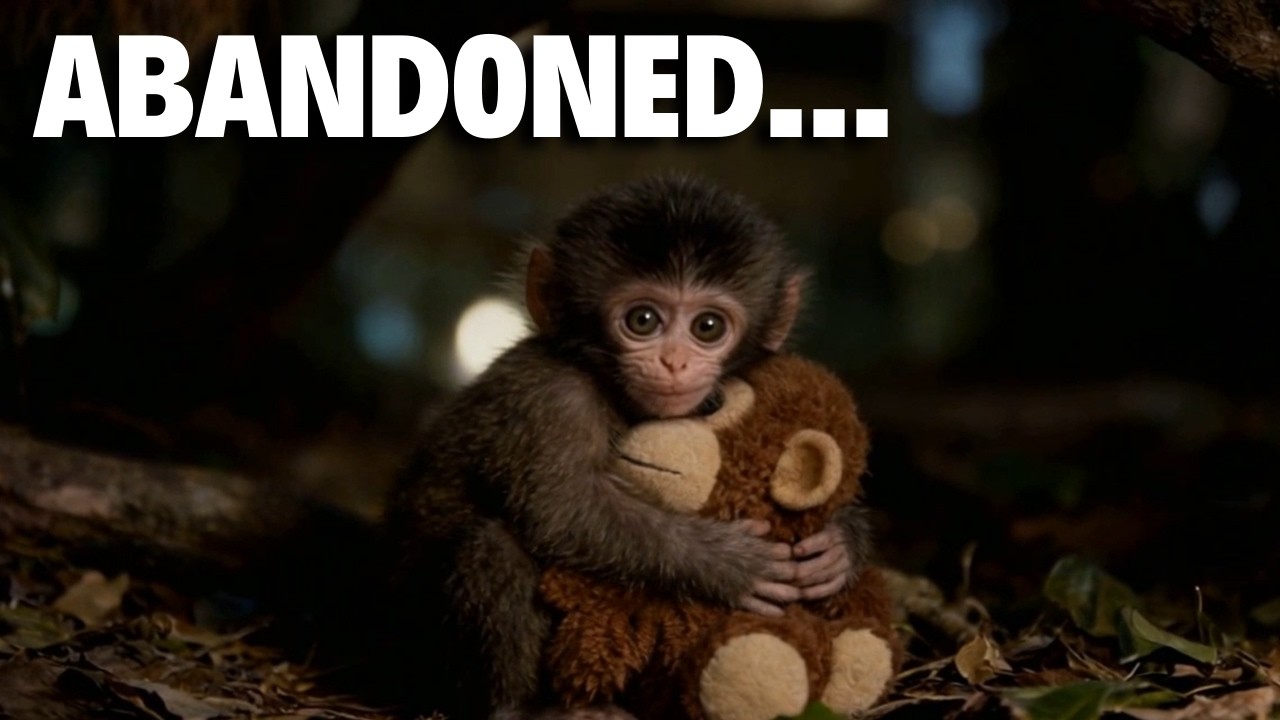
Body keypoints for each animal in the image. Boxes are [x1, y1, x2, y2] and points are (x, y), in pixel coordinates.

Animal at [384, 175, 873, 720]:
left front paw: (839, 545)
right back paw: (520, 708)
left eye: (707, 327)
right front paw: (727, 564)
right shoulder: (551, 395)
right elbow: (561, 508)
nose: (674, 362)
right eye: (642, 320)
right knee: (492, 547)